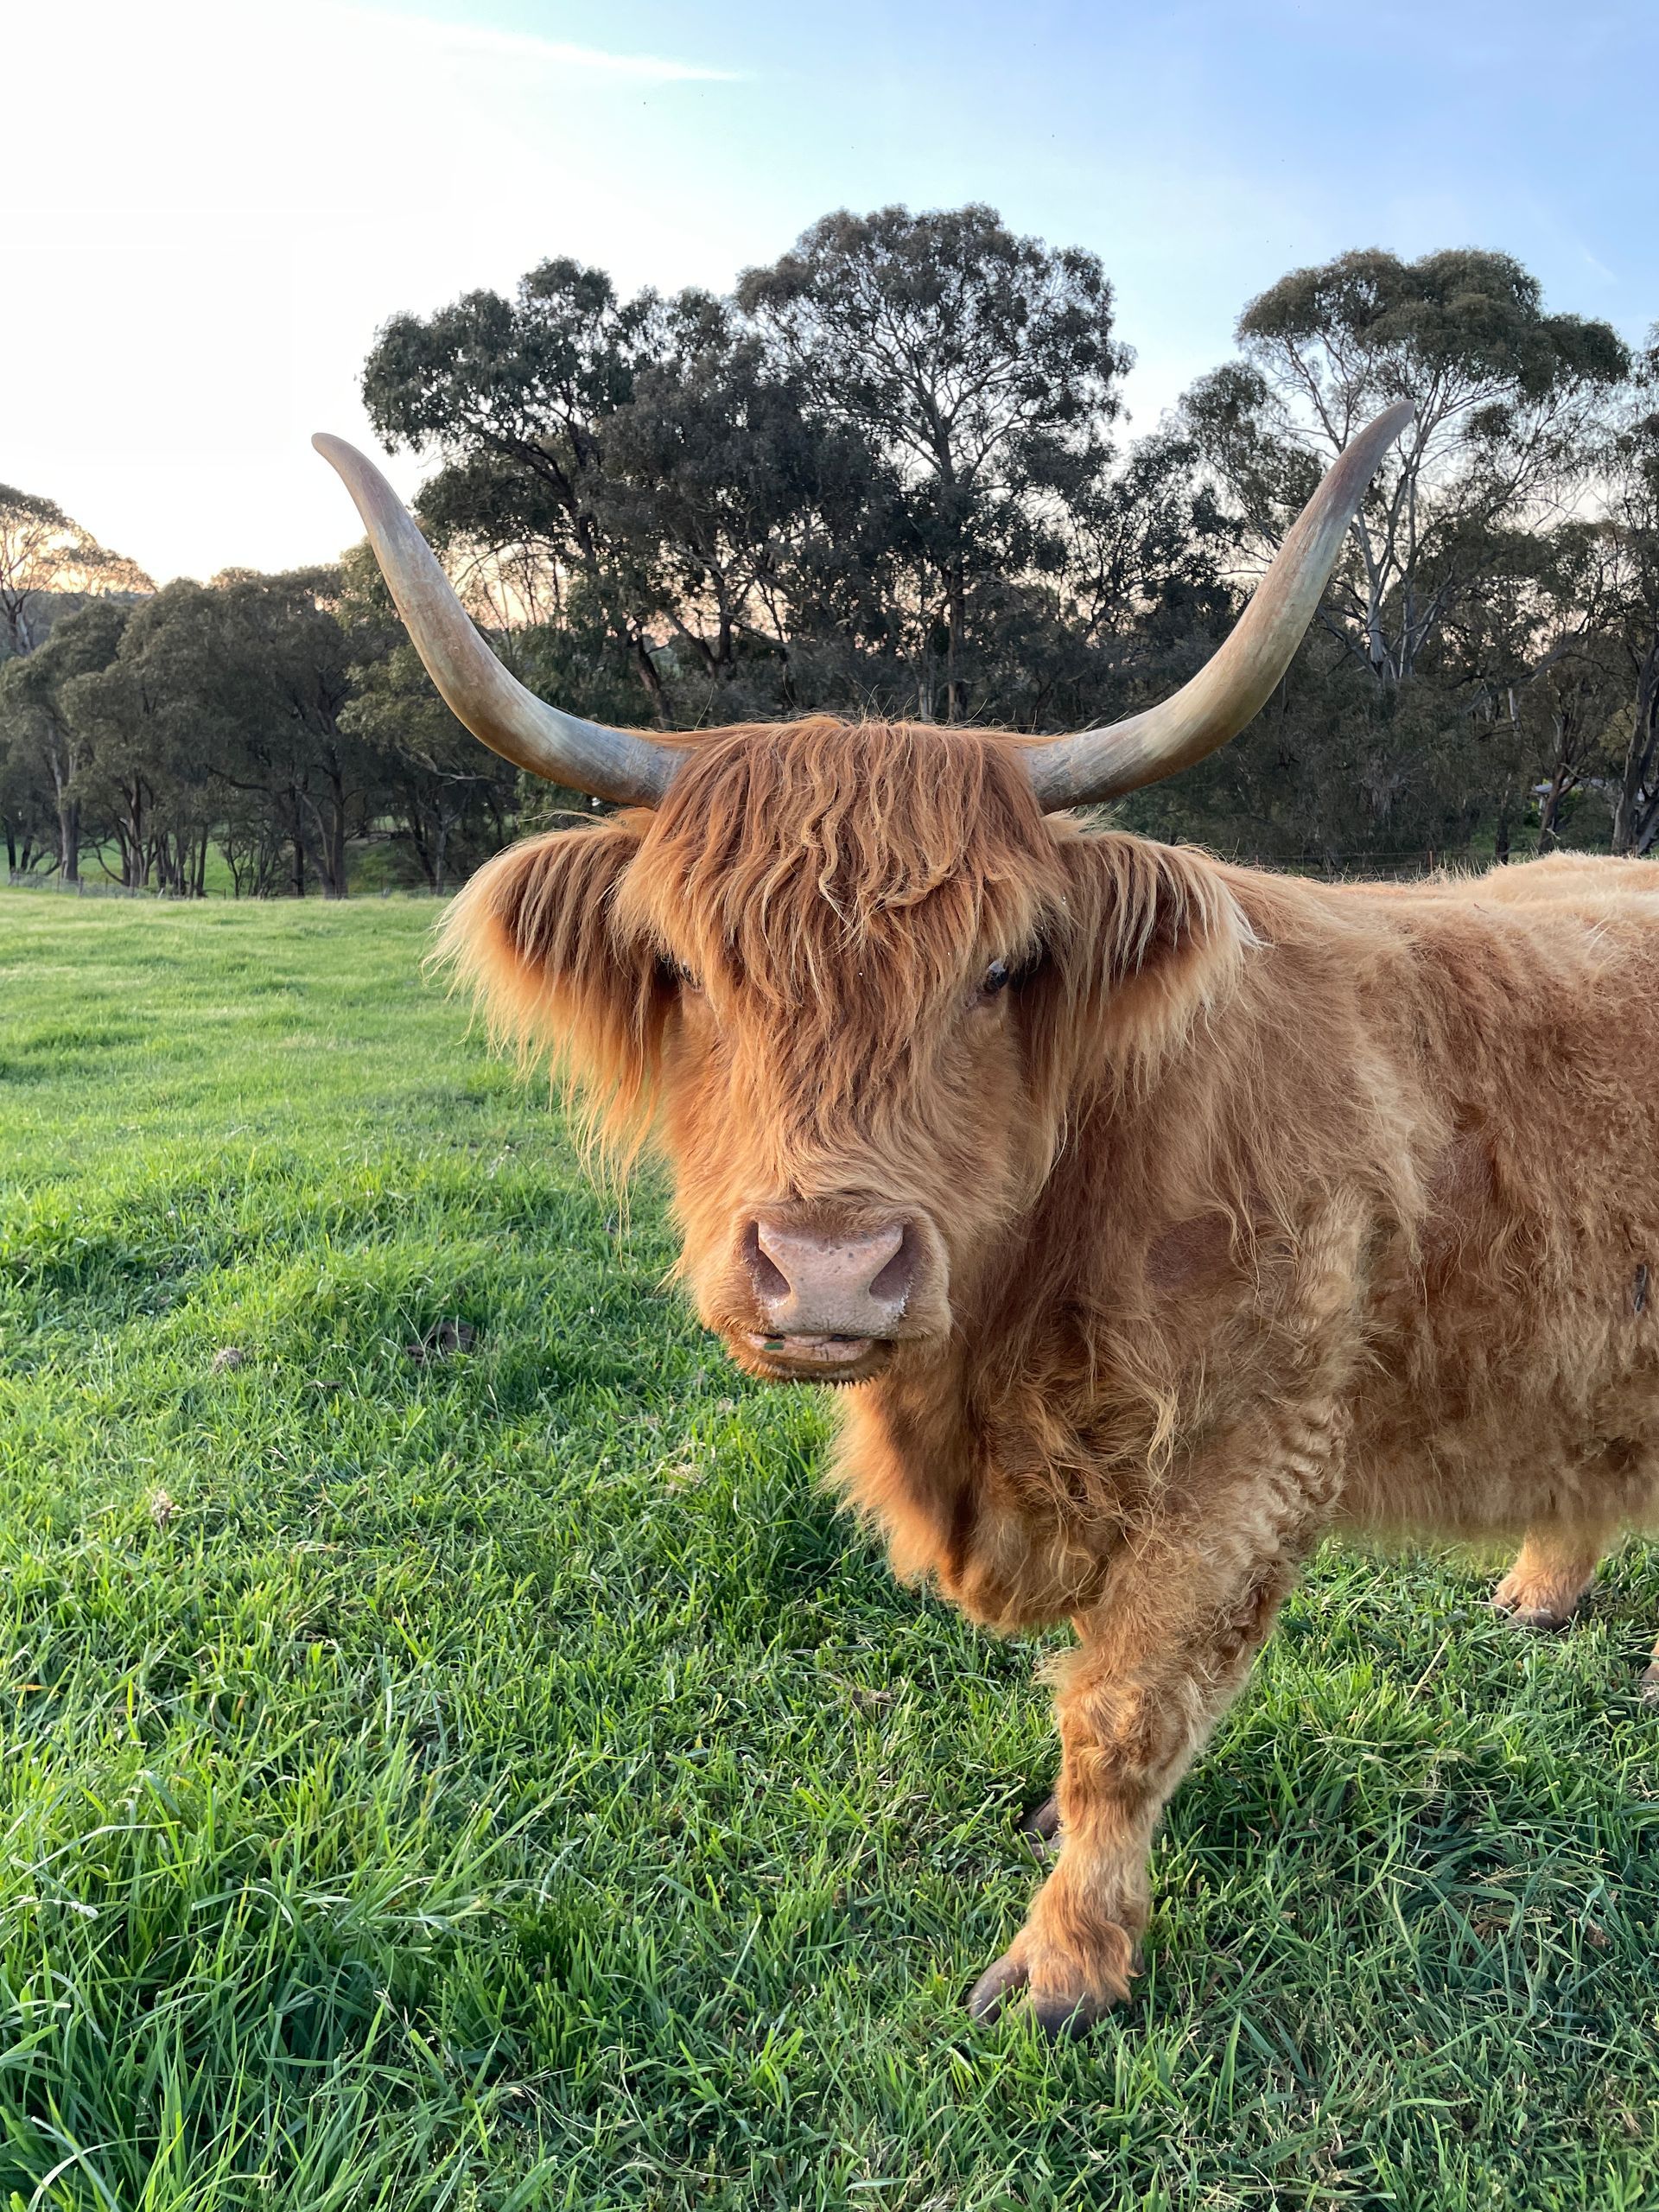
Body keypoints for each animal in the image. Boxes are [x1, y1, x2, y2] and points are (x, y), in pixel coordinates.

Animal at [316, 406, 1659, 2037]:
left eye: (1005, 967)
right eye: (685, 969)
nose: (831, 1267)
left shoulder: (1255, 1452)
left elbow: (1124, 1716)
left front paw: (1067, 1963)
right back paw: (1540, 1592)